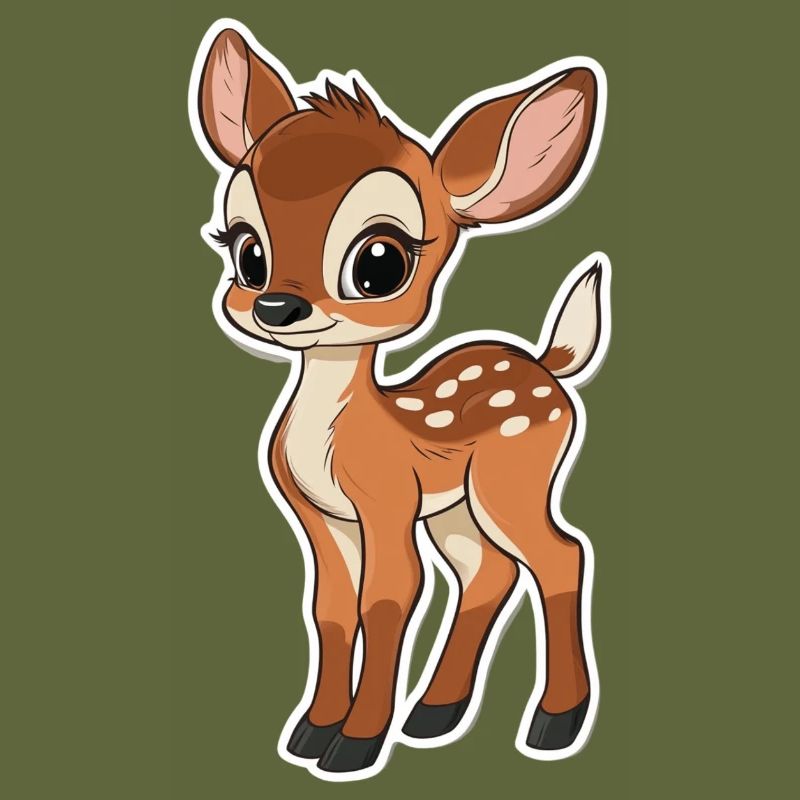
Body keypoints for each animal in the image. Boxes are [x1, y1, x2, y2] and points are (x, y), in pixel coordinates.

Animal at [190, 21, 609, 779]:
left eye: (379, 261)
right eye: (246, 249)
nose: (276, 306)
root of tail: (546, 363)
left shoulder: (385, 500)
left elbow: (387, 600)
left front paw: (354, 745)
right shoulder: (320, 515)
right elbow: (330, 608)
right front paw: (311, 733)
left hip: (514, 478)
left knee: (561, 555)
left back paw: (554, 724)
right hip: (456, 506)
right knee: (488, 570)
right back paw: (435, 714)